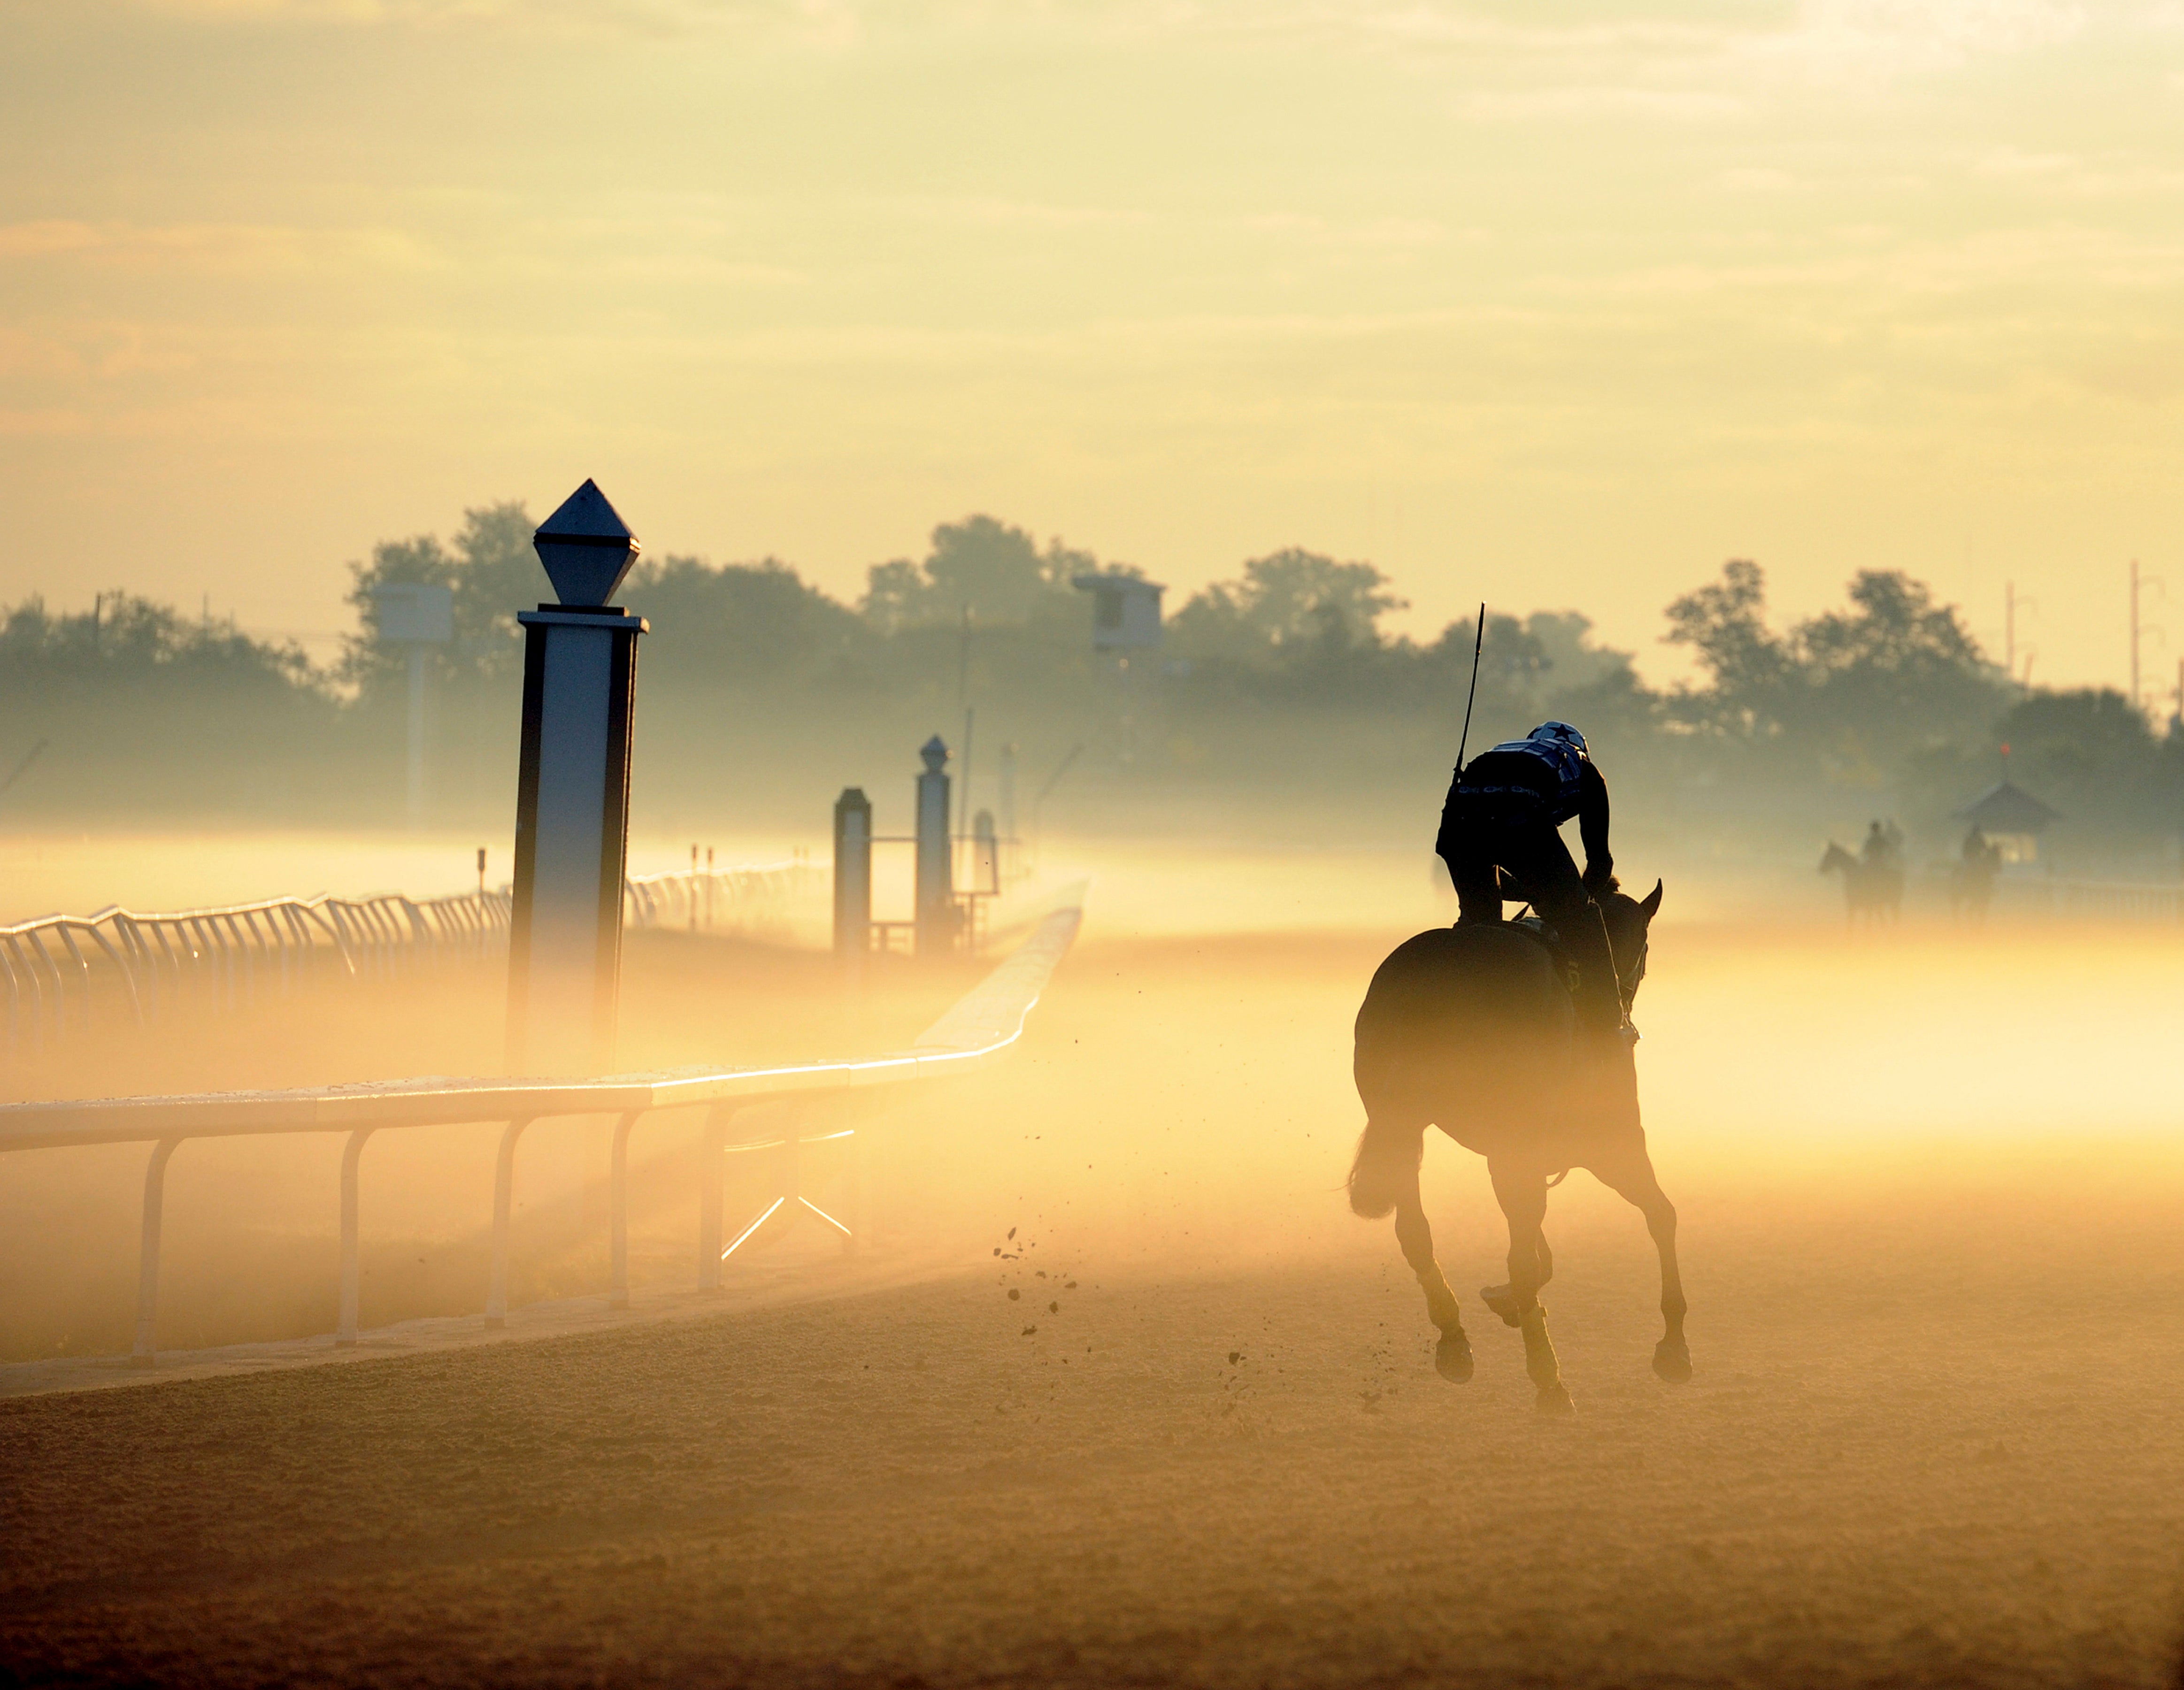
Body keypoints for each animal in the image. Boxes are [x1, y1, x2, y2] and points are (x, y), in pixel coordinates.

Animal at [1345, 886, 1686, 1414]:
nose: (1626, 1021)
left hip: (1406, 1130)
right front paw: (1673, 1342)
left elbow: (1534, 1243)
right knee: (1517, 1253)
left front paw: (1508, 1301)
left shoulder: (1512, 1158)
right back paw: (1547, 1377)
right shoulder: (1611, 1145)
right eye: (1645, 947)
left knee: (1416, 1233)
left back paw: (1454, 1336)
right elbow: (1660, 1215)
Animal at [1817, 843, 1904, 934]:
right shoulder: (1859, 906)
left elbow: (1862, 926)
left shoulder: (1861, 906)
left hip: (1894, 903)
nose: (1821, 869)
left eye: (1828, 855)